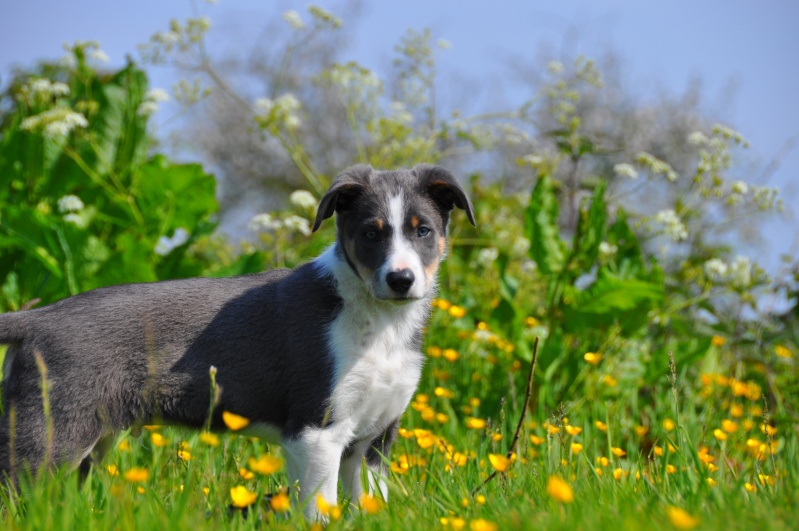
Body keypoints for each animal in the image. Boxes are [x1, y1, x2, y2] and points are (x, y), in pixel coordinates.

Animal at [0, 163, 476, 520]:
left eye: (423, 231)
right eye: (371, 233)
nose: (401, 279)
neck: (379, 323)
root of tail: (37, 318)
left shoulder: (373, 441)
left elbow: (370, 506)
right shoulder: (317, 431)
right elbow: (319, 510)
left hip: (85, 445)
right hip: (48, 437)